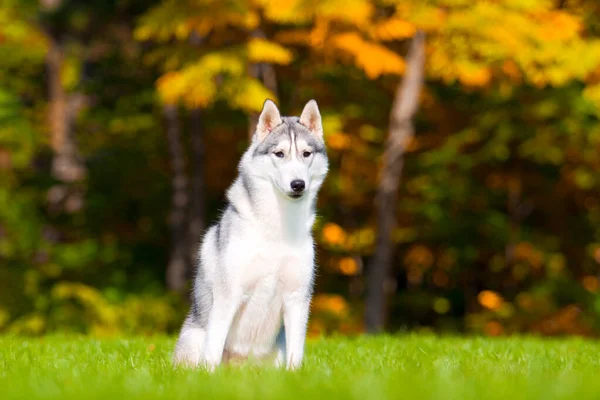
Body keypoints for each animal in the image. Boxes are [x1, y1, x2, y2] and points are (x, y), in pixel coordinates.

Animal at [171, 98, 330, 370]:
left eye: (306, 154)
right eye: (279, 154)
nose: (298, 184)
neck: (278, 229)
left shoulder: (297, 299)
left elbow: (296, 353)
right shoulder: (228, 295)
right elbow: (213, 350)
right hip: (194, 336)